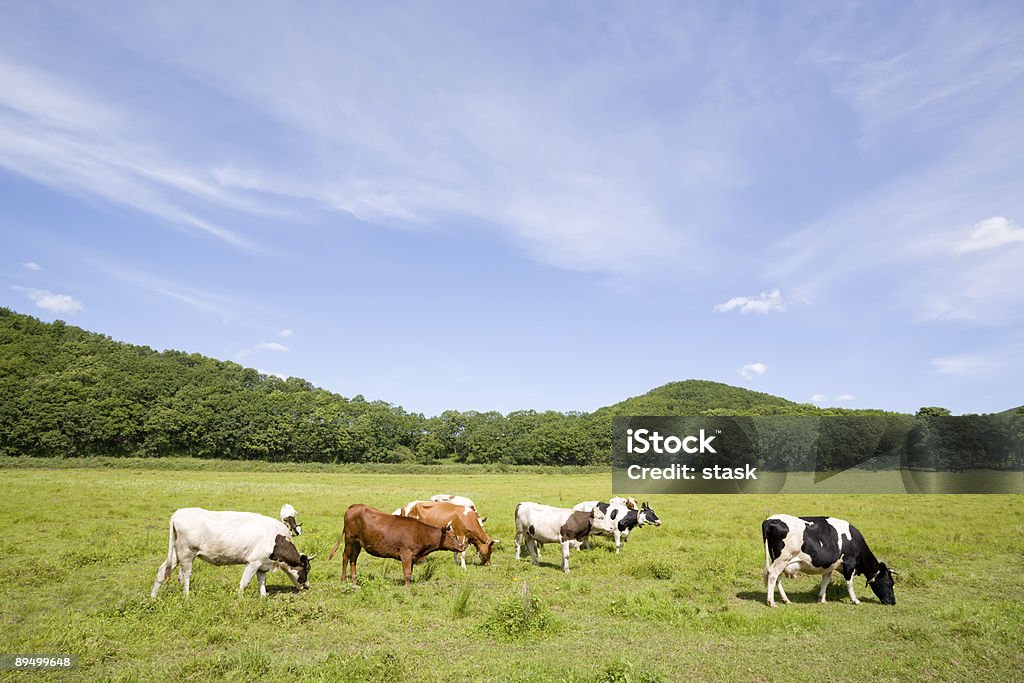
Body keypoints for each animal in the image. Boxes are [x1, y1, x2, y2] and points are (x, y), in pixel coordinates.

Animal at [149, 507, 313, 598]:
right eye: (307, 569)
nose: (307, 586)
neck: (276, 538)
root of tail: (178, 514)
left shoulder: (262, 565)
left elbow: (262, 582)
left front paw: (263, 597)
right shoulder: (253, 562)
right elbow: (244, 583)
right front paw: (241, 599)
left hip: (176, 554)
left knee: (162, 571)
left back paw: (153, 597)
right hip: (187, 554)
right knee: (186, 576)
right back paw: (187, 596)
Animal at [325, 505, 466, 585]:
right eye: (453, 536)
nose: (462, 547)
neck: (420, 533)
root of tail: (353, 507)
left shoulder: (412, 557)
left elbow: (410, 573)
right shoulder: (406, 554)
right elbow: (407, 574)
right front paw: (408, 590)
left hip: (357, 544)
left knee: (353, 559)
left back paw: (354, 582)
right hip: (349, 539)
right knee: (345, 557)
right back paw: (343, 580)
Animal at [761, 511, 897, 610]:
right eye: (890, 583)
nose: (893, 602)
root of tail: (770, 519)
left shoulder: (830, 565)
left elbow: (826, 581)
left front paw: (822, 599)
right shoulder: (849, 564)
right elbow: (849, 583)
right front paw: (855, 600)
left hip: (778, 559)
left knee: (777, 577)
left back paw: (786, 600)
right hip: (782, 559)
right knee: (773, 575)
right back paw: (771, 602)